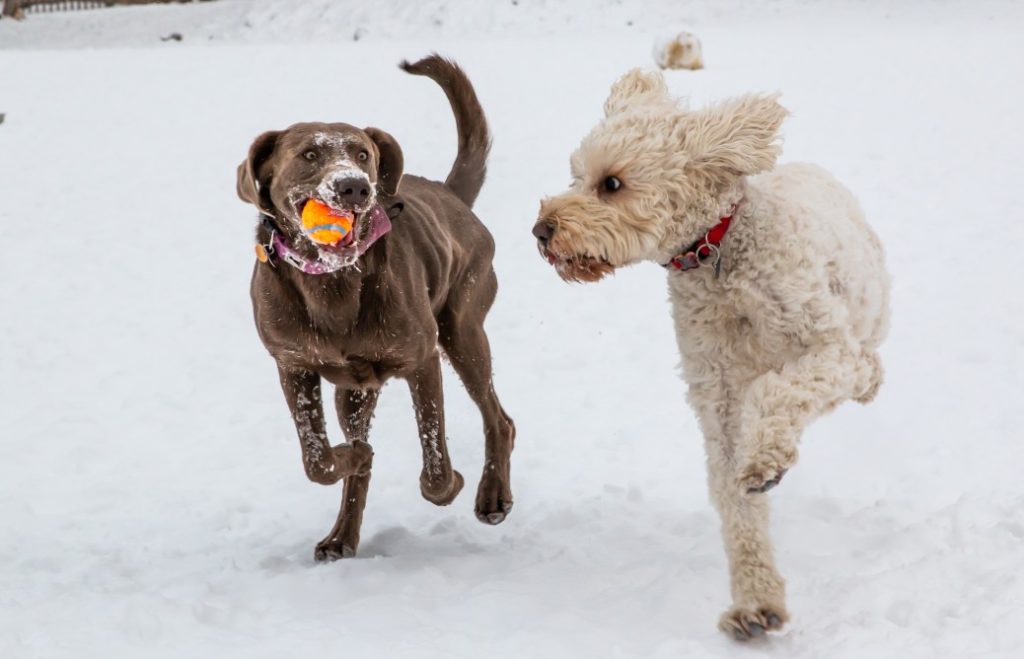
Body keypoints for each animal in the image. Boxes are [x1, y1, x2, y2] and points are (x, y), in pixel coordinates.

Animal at [235, 55, 516, 560]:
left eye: (363, 154)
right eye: (310, 154)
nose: (353, 187)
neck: (332, 282)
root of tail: (451, 195)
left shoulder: (422, 359)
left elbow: (436, 465)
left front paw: (450, 481)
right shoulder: (293, 365)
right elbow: (318, 460)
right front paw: (352, 456)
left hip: (463, 331)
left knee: (498, 419)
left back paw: (492, 496)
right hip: (354, 389)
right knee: (356, 458)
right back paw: (341, 535)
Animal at [532, 70, 892, 638]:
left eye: (611, 183)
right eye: (575, 177)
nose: (541, 231)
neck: (717, 255)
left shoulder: (833, 352)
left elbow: (778, 390)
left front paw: (766, 460)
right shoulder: (717, 394)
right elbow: (735, 500)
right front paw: (756, 602)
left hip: (863, 329)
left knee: (865, 372)